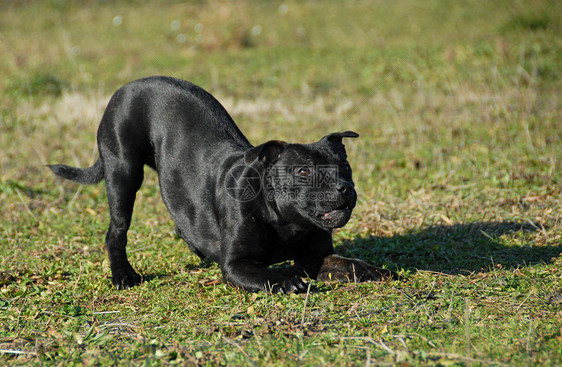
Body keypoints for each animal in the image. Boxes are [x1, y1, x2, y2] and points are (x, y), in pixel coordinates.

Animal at [50, 76, 396, 294]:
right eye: (303, 171)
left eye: (345, 167)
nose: (343, 188)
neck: (284, 221)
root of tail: (128, 86)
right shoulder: (237, 265)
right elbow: (264, 274)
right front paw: (283, 281)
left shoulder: (314, 258)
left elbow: (347, 264)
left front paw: (373, 270)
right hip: (124, 174)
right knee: (116, 231)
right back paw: (123, 275)